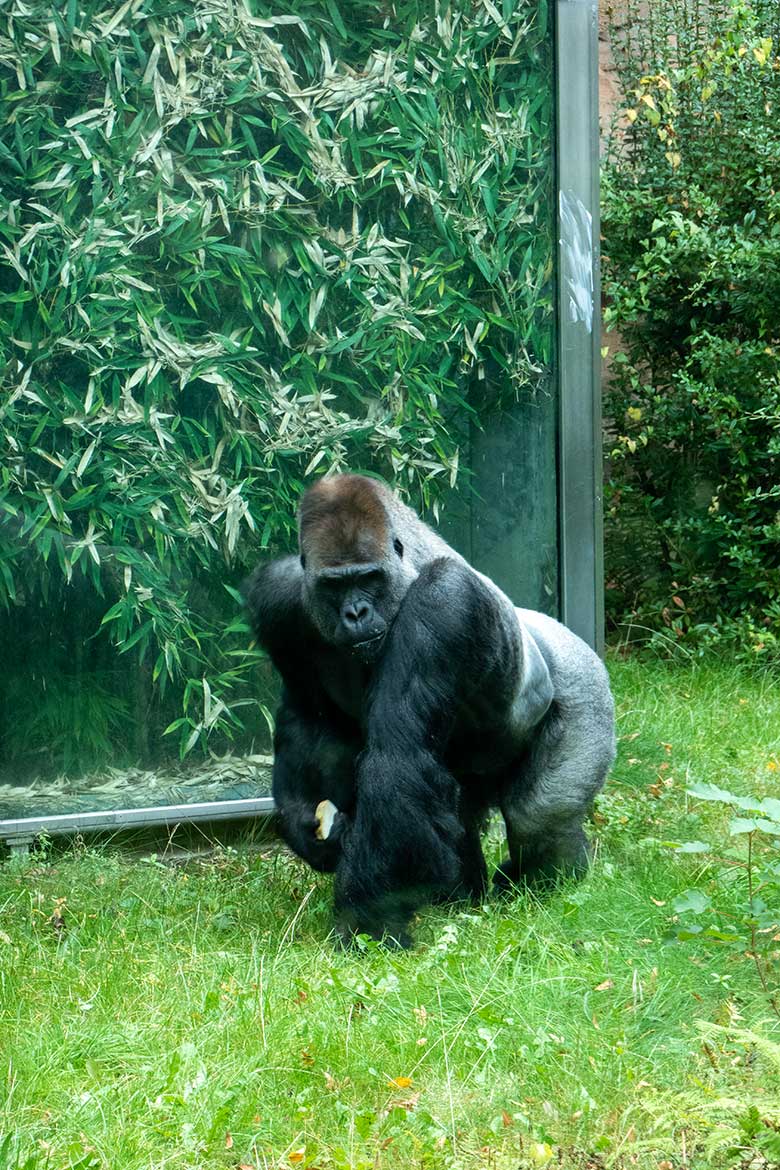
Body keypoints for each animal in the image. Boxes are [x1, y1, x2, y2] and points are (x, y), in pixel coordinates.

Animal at [244, 470, 617, 945]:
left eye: (369, 578)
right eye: (334, 585)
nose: (355, 612)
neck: (407, 569)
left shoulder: (445, 602)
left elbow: (396, 761)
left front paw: (367, 921)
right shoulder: (280, 597)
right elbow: (309, 718)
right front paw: (307, 830)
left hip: (587, 694)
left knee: (539, 816)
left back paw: (547, 880)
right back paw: (464, 895)